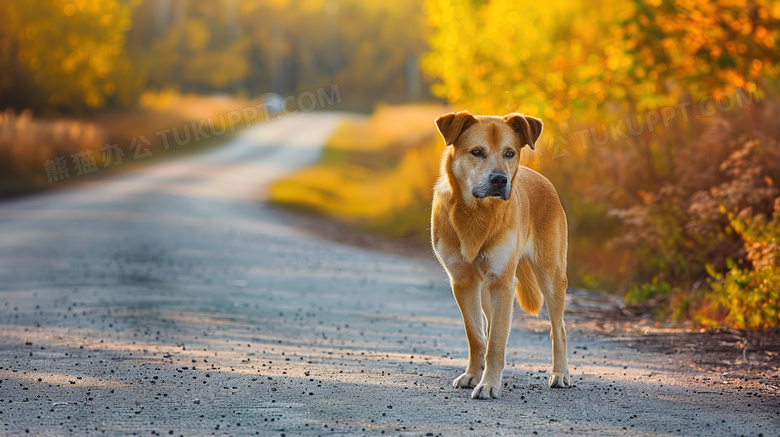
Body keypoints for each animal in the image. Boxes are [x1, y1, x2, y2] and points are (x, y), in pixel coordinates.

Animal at [430, 110, 568, 398]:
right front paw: (474, 375)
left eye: (509, 153)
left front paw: (489, 384)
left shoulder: (503, 283)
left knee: (558, 329)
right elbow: (476, 336)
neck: (477, 212)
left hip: (551, 276)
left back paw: (560, 374)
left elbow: (495, 343)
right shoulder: (463, 283)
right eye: (477, 151)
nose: (499, 180)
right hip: (486, 291)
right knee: (490, 326)